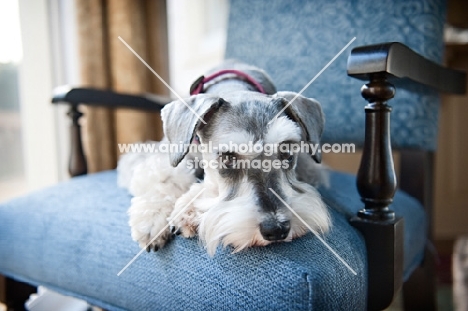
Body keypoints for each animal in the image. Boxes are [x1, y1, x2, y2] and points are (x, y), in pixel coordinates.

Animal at [119, 60, 330, 256]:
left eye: (286, 152)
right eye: (228, 158)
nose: (277, 229)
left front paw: (191, 209)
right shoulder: (169, 153)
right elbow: (163, 177)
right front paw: (152, 220)